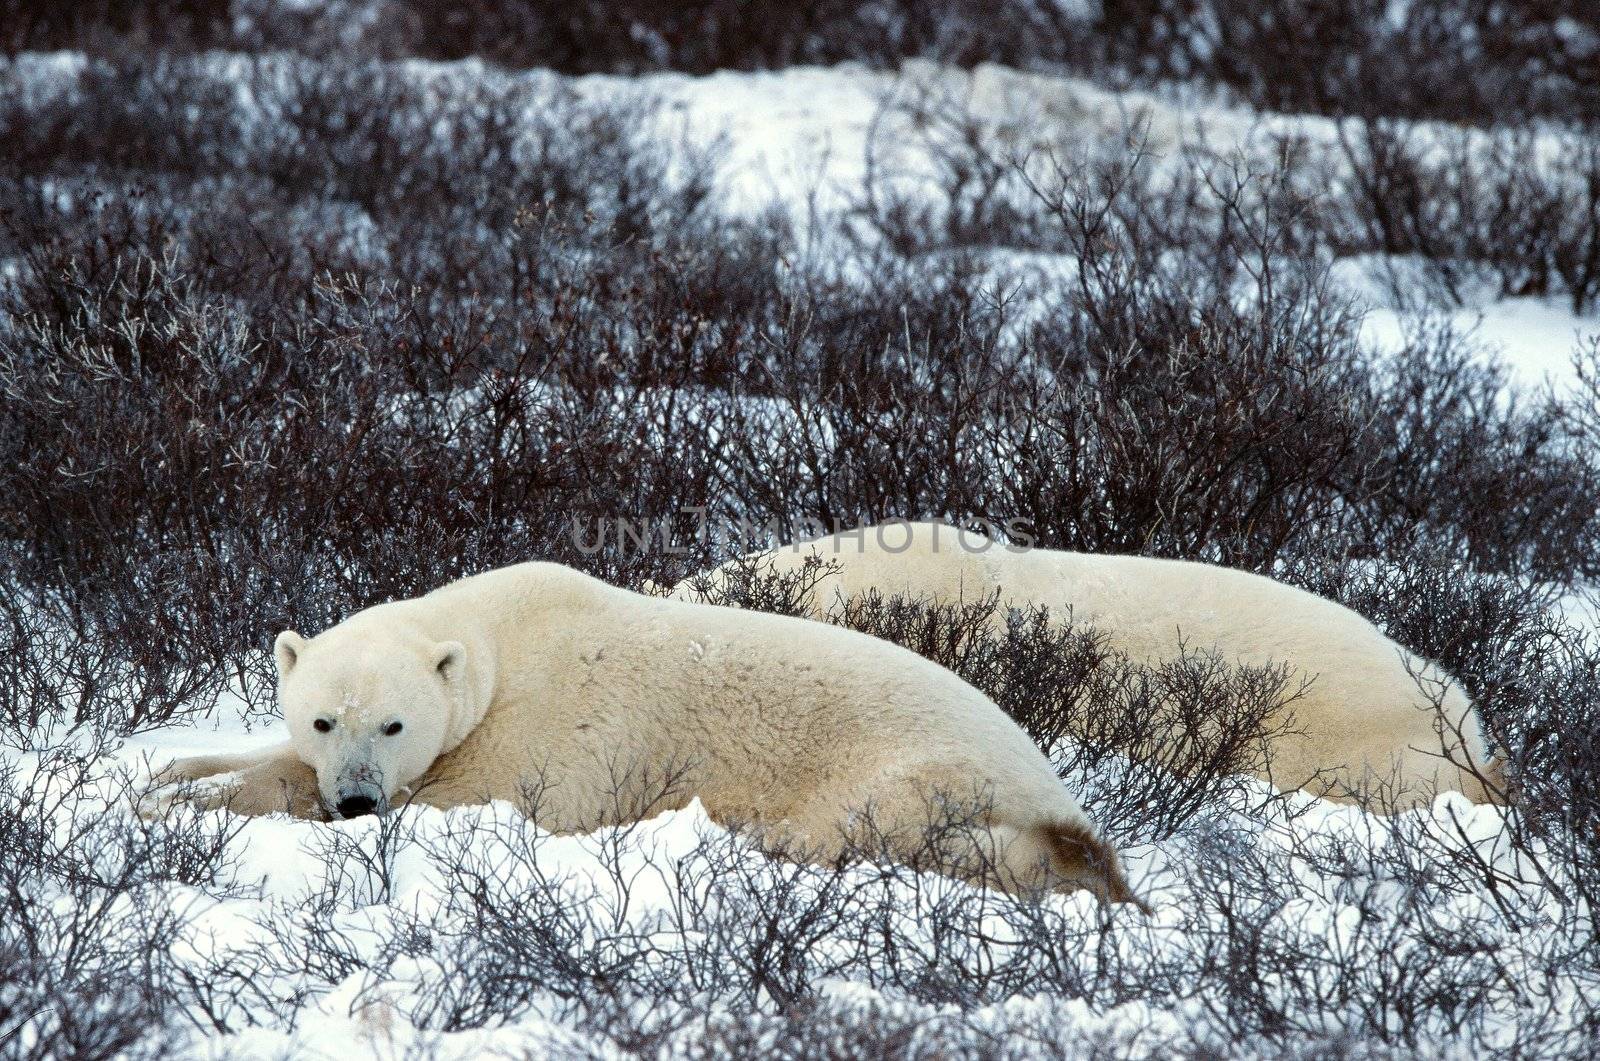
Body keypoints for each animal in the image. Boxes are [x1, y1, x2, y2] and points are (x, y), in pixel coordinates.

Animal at [144, 560, 1145, 908]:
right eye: (323, 716)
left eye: (393, 723)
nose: (354, 798)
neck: (496, 639)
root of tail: (1059, 795)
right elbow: (267, 763)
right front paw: (172, 774)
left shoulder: (549, 739)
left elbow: (471, 795)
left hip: (917, 770)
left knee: (883, 829)